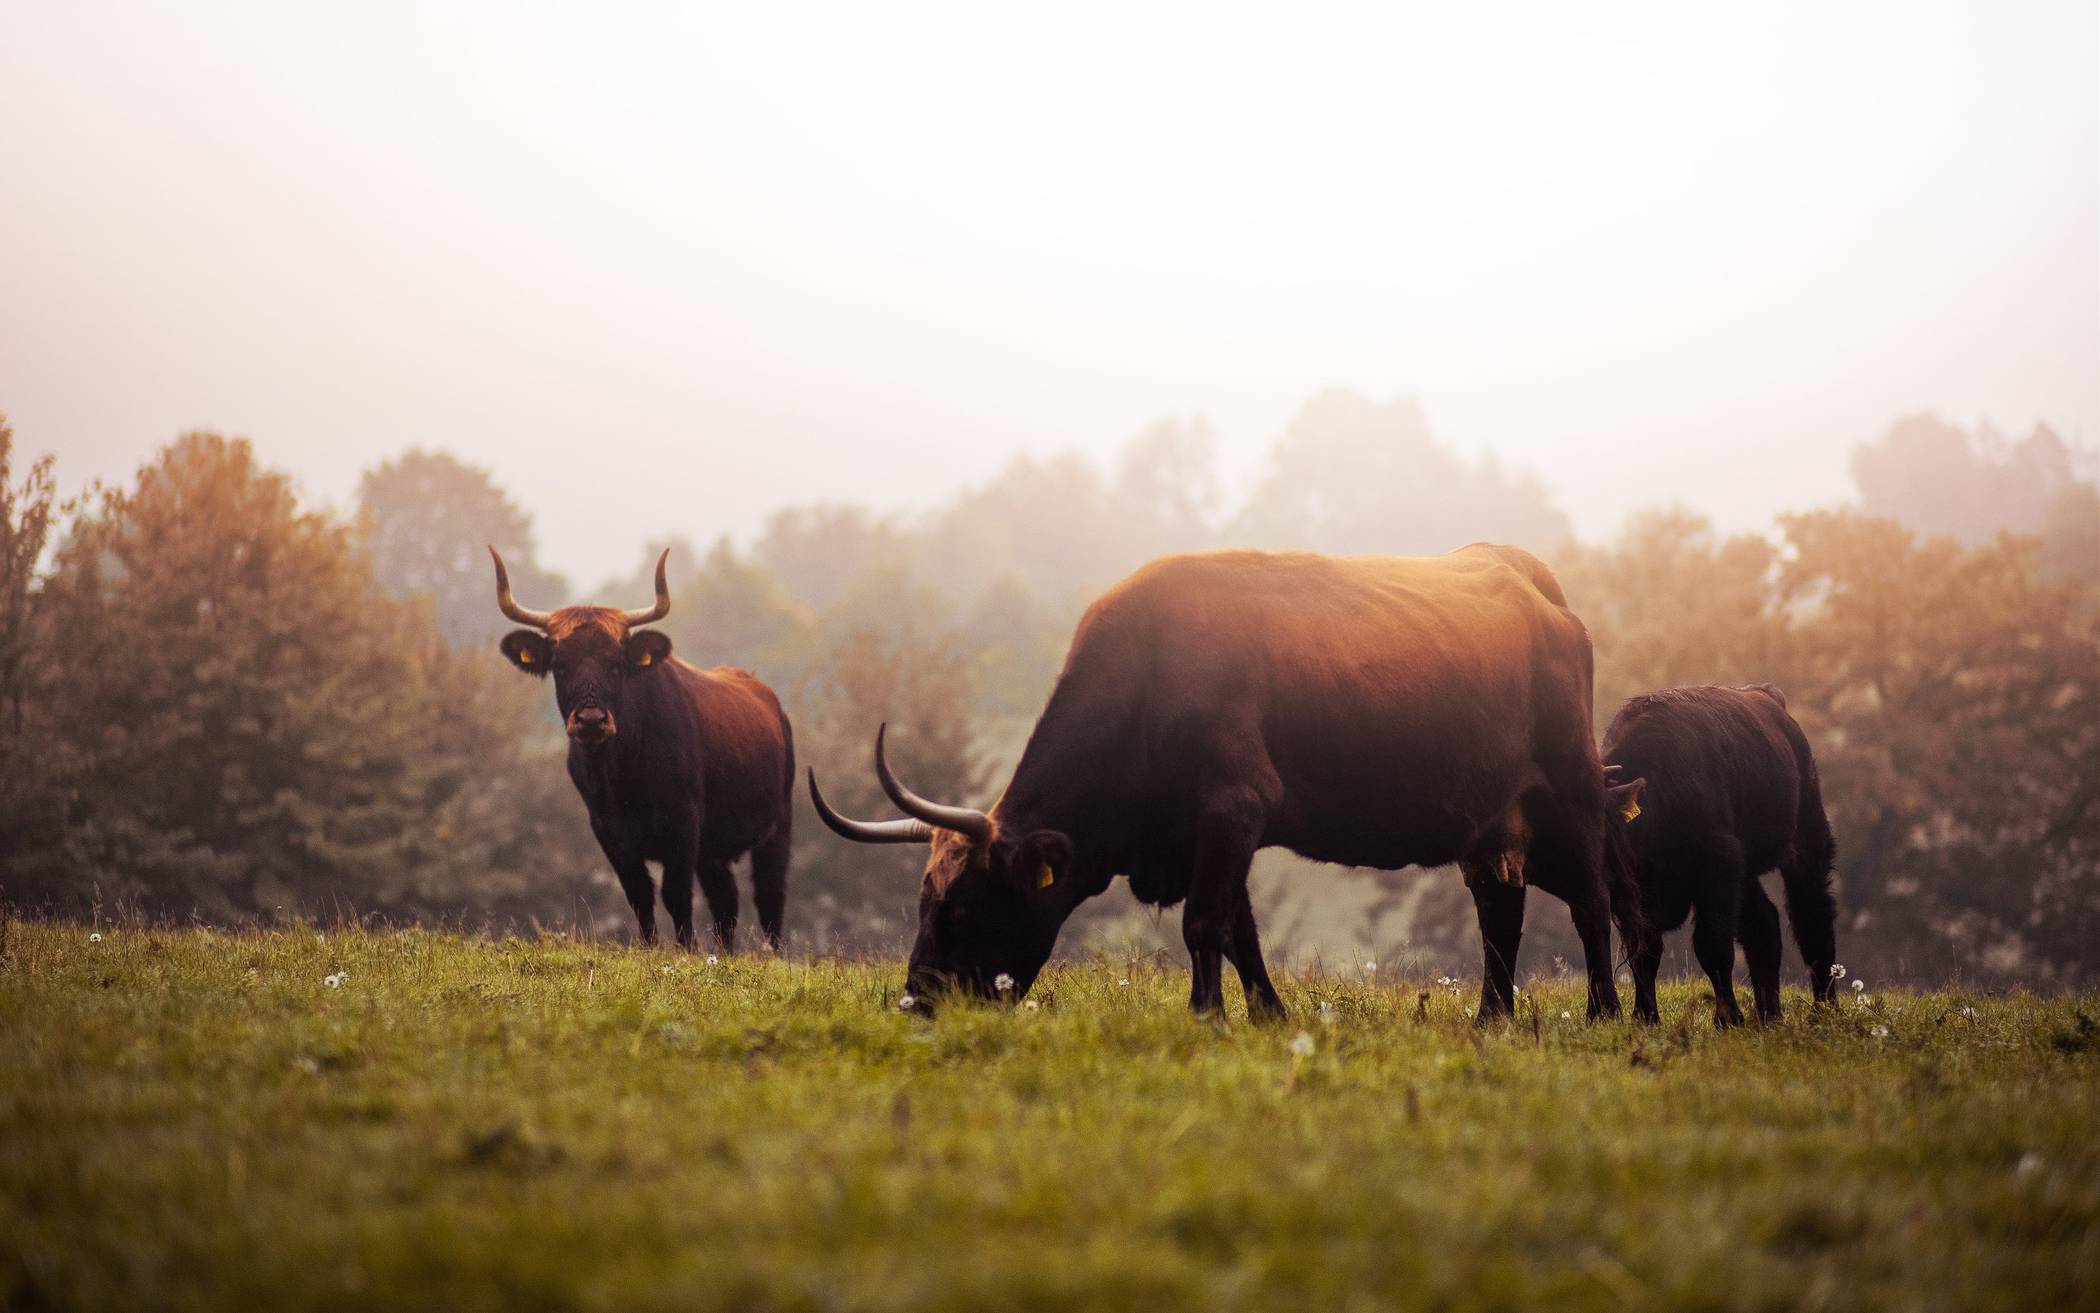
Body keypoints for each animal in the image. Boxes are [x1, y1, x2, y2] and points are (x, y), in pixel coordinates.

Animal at [491, 546, 793, 945]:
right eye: (559, 664)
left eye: (616, 663)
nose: (591, 720)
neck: (623, 773)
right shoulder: (609, 832)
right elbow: (639, 897)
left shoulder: (683, 824)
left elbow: (676, 895)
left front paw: (686, 948)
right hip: (715, 850)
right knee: (725, 903)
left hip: (776, 827)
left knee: (770, 898)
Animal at [802, 542, 1637, 1025]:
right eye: (922, 901)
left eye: (964, 908)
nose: (918, 1000)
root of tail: (1535, 584)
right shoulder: (1210, 829)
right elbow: (1240, 930)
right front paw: (1266, 1015)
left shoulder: (1234, 805)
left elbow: (1204, 922)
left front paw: (1208, 1018)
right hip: (1490, 826)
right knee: (1501, 912)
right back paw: (1491, 1019)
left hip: (1573, 797)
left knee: (1593, 904)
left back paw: (1610, 1013)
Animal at [1604, 680, 1839, 1029]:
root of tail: (1768, 696)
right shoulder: (1637, 896)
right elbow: (1644, 949)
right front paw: (1645, 1016)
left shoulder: (1717, 863)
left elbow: (1712, 944)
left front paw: (1727, 1017)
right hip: (1746, 871)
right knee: (1763, 925)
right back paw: (1769, 1014)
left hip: (1807, 840)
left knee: (1812, 915)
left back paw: (1824, 1009)